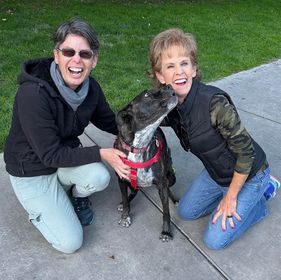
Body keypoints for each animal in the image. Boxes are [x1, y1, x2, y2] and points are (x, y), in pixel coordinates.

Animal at [114, 85, 177, 241]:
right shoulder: (121, 179)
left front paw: (166, 231)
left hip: (171, 175)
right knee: (133, 192)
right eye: (147, 95)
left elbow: (166, 211)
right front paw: (125, 216)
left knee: (169, 187)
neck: (140, 145)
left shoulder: (161, 184)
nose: (168, 85)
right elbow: (125, 200)